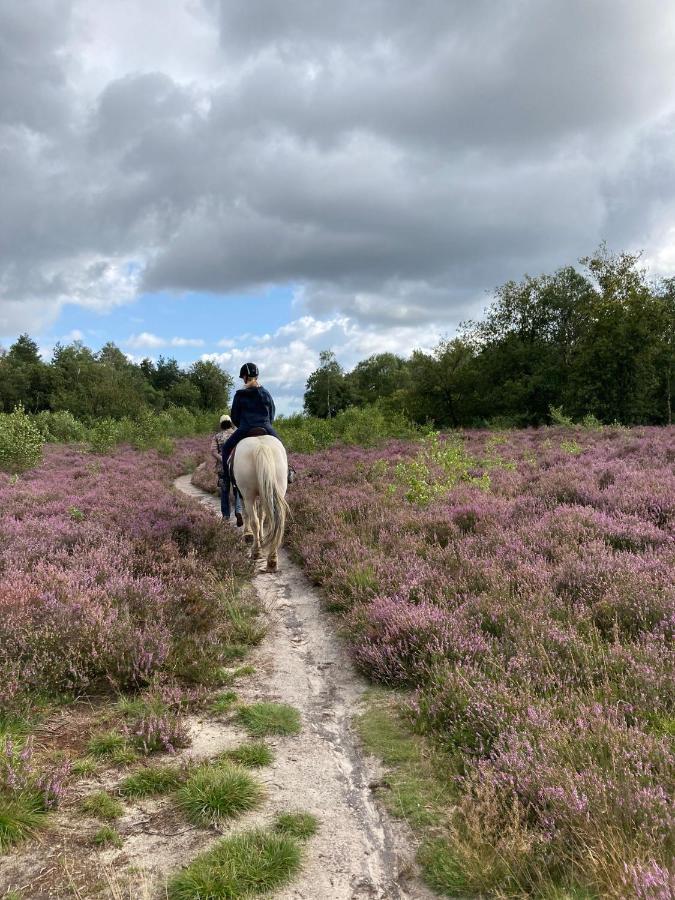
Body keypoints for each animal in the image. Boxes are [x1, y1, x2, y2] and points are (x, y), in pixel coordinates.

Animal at [234, 434, 290, 572]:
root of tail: (261, 446)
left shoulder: (243, 494)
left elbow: (251, 516)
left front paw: (248, 534)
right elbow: (262, 516)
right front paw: (261, 536)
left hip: (248, 495)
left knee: (254, 520)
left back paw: (256, 551)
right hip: (276, 488)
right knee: (276, 521)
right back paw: (272, 559)